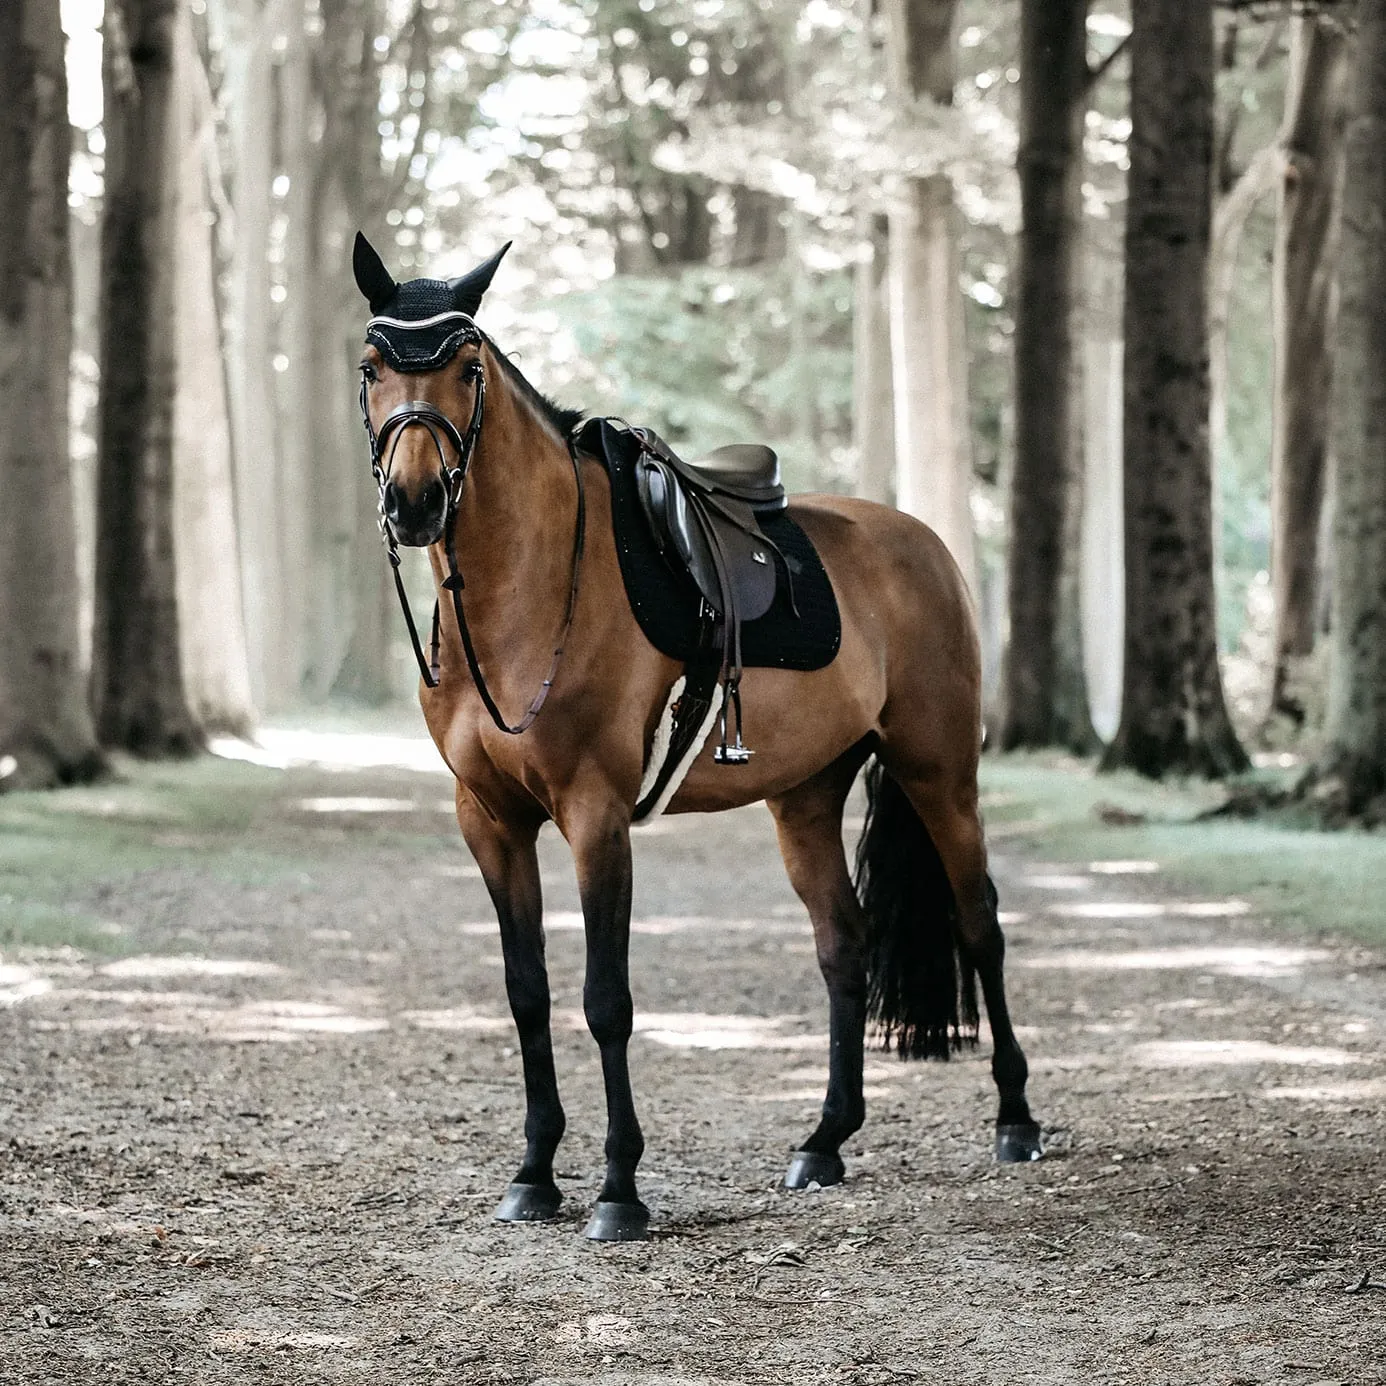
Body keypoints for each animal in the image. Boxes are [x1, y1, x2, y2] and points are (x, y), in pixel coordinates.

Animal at [352, 232, 1042, 1241]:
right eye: (371, 366)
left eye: (468, 369)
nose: (415, 501)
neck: (528, 587)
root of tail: (925, 545)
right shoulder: (490, 820)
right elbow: (528, 993)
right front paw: (533, 1173)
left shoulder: (597, 816)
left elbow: (605, 1001)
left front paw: (618, 1190)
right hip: (806, 797)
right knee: (844, 943)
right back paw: (824, 1141)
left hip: (939, 770)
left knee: (979, 924)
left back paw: (1017, 1119)